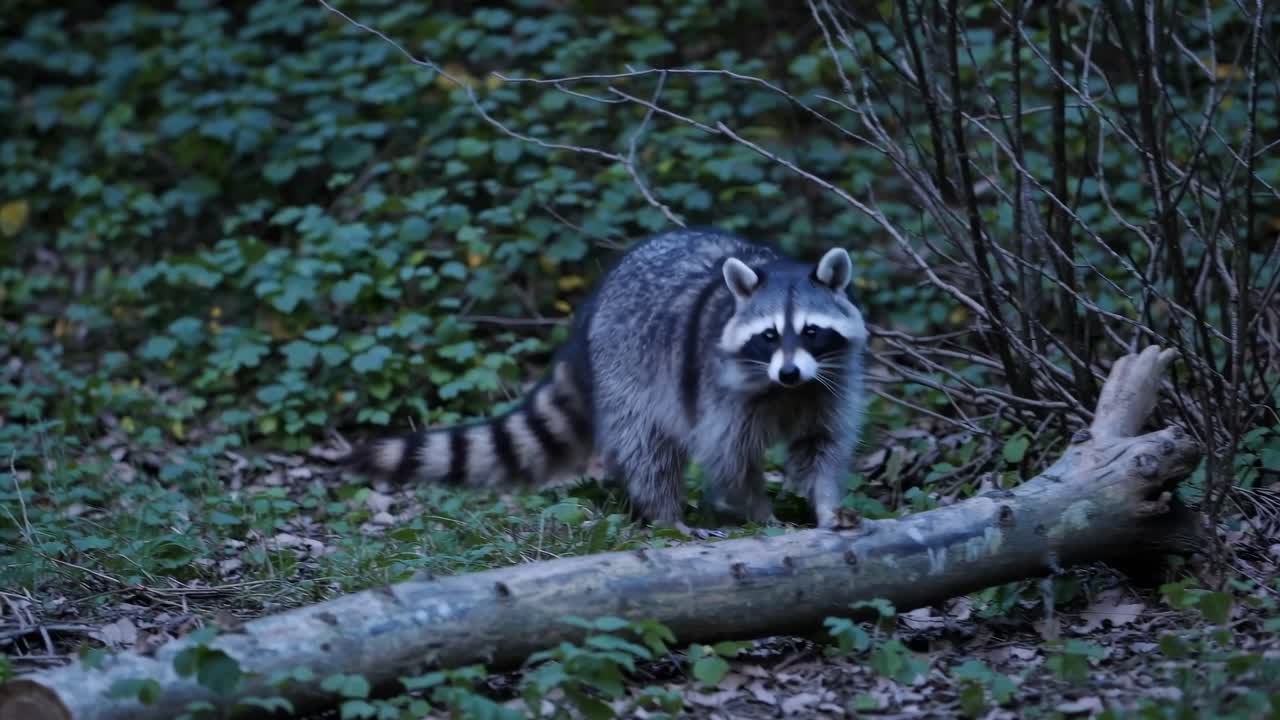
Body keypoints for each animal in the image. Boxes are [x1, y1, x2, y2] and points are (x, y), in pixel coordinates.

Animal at [348, 227, 868, 530]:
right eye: (769, 335)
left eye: (811, 331)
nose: (788, 371)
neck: (787, 389)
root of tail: (596, 302)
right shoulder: (722, 390)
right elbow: (729, 458)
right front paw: (761, 513)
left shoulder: (829, 386)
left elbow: (820, 447)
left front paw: (824, 503)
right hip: (628, 368)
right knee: (648, 449)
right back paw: (667, 516)